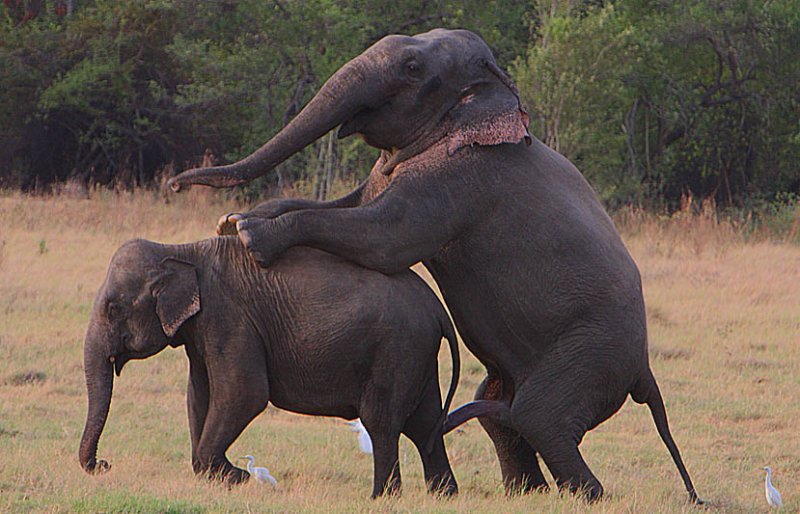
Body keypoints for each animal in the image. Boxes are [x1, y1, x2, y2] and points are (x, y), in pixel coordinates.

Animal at [79, 236, 462, 496]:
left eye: (113, 308)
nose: (104, 464)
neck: (183, 251)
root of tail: (439, 310)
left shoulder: (229, 317)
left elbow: (243, 394)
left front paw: (238, 476)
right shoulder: (201, 331)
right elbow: (199, 395)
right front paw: (226, 476)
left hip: (397, 350)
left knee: (382, 423)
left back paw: (381, 497)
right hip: (418, 355)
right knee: (425, 423)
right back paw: (442, 495)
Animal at [169, 28, 700, 500]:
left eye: (412, 68)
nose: (174, 184)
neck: (495, 95)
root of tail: (644, 371)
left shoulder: (463, 178)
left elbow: (384, 236)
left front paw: (248, 233)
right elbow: (350, 204)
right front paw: (234, 219)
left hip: (590, 354)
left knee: (539, 416)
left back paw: (588, 495)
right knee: (500, 411)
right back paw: (525, 493)